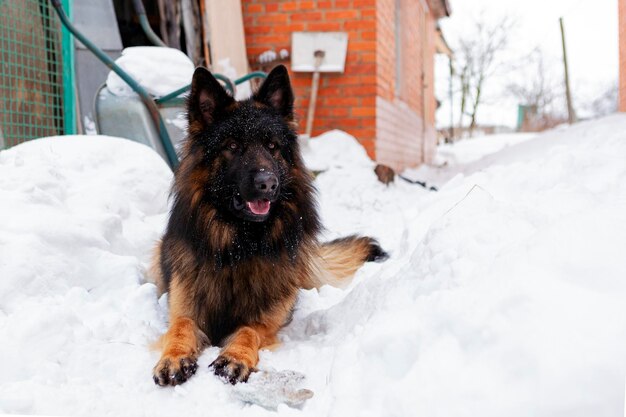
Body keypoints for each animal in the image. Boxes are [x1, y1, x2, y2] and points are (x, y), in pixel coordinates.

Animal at [151, 65, 386, 386]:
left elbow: (249, 329)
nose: (268, 184)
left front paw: (235, 357)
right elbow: (180, 326)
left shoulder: (267, 321)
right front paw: (174, 358)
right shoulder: (184, 306)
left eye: (272, 146)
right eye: (232, 146)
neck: (240, 247)